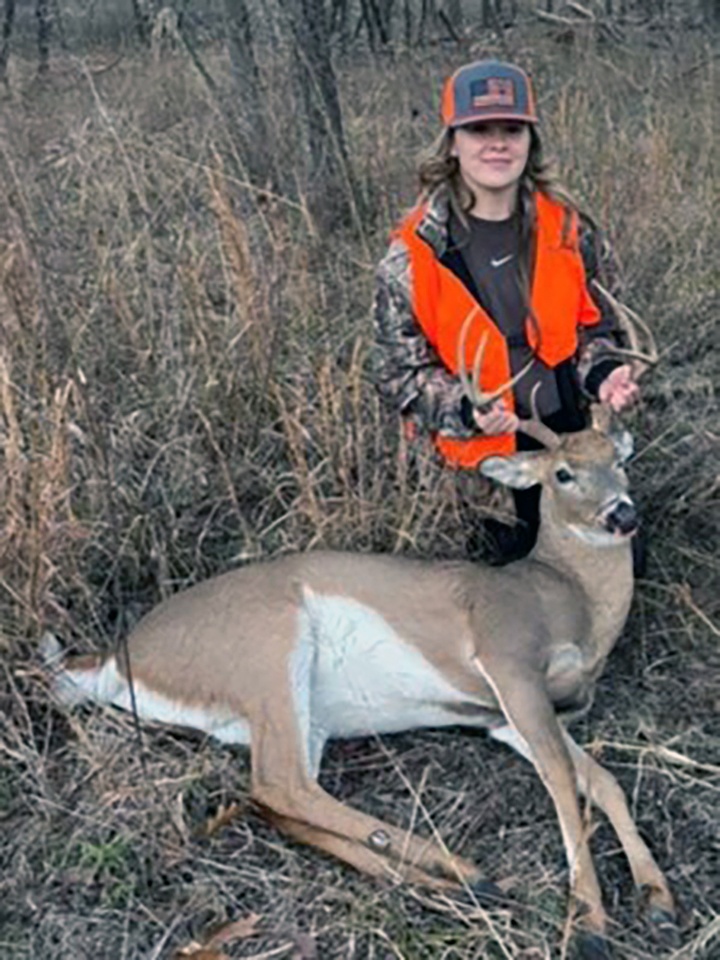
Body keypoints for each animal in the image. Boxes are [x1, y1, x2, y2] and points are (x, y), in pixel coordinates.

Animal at [42, 300, 675, 959]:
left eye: (618, 461)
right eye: (562, 475)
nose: (622, 514)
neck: (565, 596)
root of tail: (114, 657)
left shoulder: (503, 716)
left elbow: (601, 779)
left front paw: (657, 899)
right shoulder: (506, 658)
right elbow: (562, 782)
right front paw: (591, 922)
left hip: (289, 715)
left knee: (276, 804)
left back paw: (443, 879)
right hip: (270, 647)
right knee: (282, 785)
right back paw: (465, 869)